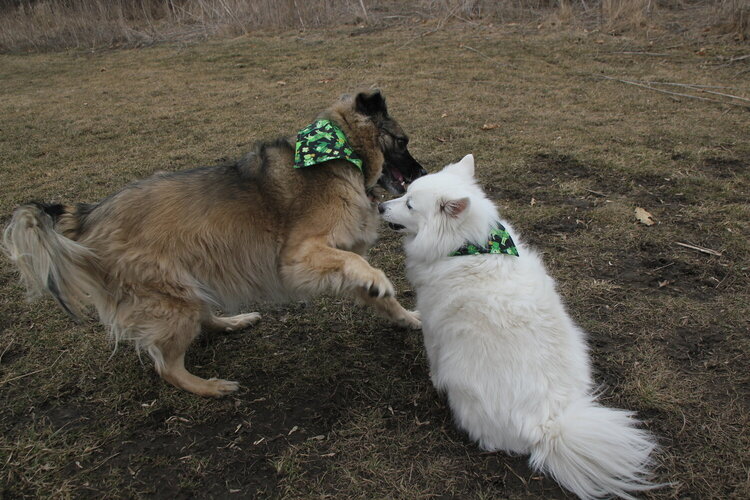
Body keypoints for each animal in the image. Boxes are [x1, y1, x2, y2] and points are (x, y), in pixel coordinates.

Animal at [4, 89, 428, 394]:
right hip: (170, 298)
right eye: (403, 141)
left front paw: (409, 319)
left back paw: (232, 322)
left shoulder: (336, 253)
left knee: (201, 317)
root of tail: (88, 214)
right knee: (167, 366)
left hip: (188, 285)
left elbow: (378, 294)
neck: (341, 155)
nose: (422, 172)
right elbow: (363, 267)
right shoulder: (298, 256)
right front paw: (382, 281)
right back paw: (210, 387)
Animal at [378, 154, 660, 498]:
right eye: (405, 194)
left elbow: (431, 355)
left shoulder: (434, 326)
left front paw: (432, 378)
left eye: (409, 204)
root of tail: (548, 422)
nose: (380, 206)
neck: (467, 245)